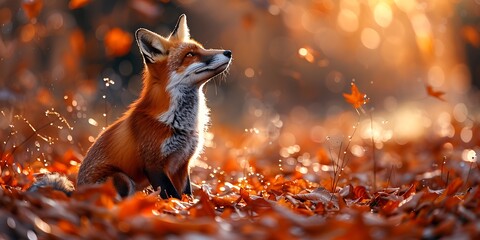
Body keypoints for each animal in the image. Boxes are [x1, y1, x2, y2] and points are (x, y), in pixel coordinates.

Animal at [29, 14, 232, 199]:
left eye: (202, 48)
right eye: (190, 55)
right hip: (121, 178)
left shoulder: (182, 163)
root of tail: (76, 193)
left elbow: (186, 194)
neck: (180, 120)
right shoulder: (153, 164)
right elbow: (172, 195)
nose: (228, 52)